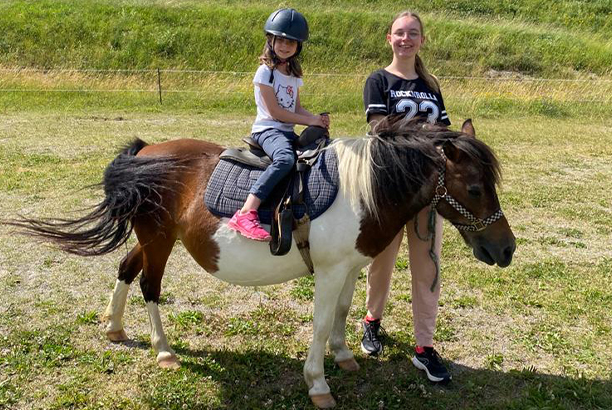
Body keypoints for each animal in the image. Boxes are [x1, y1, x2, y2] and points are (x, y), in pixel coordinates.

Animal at [10, 117, 516, 406]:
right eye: (475, 188)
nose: (506, 249)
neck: (363, 188)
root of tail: (146, 151)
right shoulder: (329, 271)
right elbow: (319, 324)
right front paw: (318, 384)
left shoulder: (350, 267)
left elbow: (343, 312)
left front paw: (344, 356)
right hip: (159, 240)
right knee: (150, 286)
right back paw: (164, 351)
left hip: (154, 236)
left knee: (126, 271)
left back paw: (114, 329)